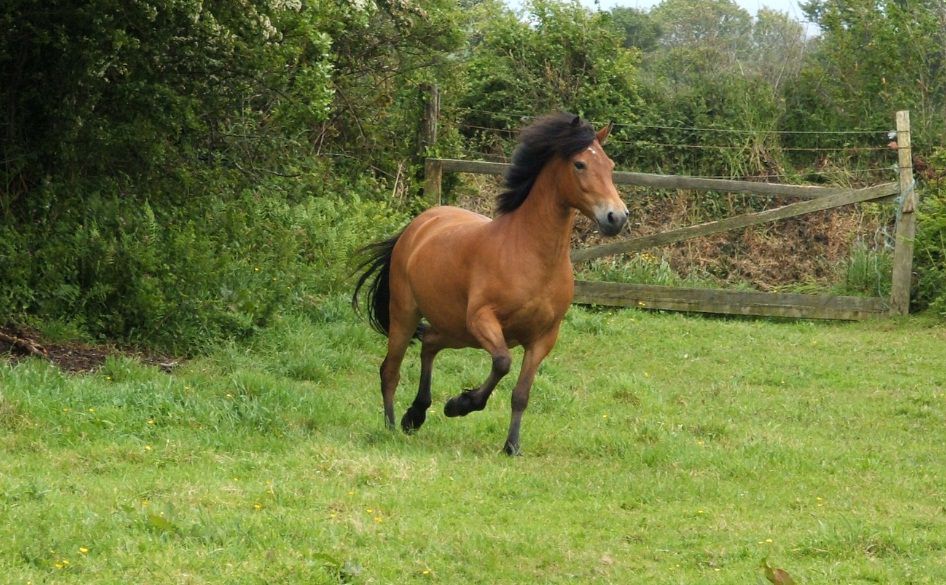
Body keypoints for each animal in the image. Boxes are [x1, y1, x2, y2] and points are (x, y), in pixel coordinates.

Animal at [352, 113, 628, 455]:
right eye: (579, 164)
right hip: (408, 315)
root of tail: (417, 225)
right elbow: (502, 363)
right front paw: (460, 404)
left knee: (429, 343)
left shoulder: (544, 337)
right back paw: (392, 426)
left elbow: (521, 394)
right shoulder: (483, 319)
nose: (617, 217)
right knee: (390, 370)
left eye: (611, 165)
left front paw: (511, 447)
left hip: (456, 330)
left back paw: (415, 415)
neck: (531, 253)